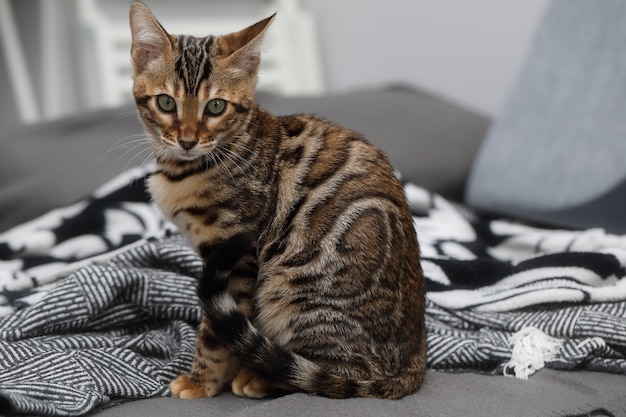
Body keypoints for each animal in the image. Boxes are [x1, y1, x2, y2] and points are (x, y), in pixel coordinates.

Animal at [129, 0, 426, 400]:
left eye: (216, 107)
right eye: (165, 102)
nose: (188, 140)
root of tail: (413, 366)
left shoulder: (236, 253)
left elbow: (215, 333)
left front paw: (201, 382)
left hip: (293, 291)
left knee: (334, 377)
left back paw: (261, 376)